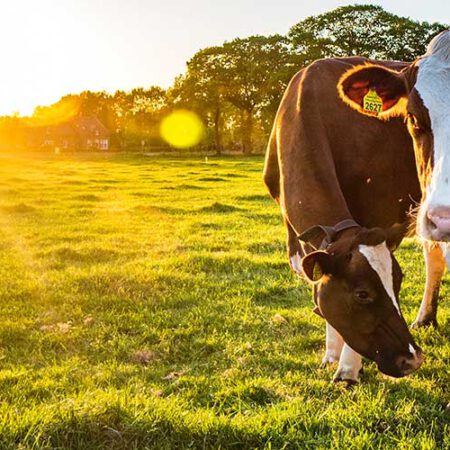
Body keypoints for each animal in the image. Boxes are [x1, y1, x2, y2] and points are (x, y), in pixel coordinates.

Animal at [264, 54, 426, 382]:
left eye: (398, 283)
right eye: (362, 294)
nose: (412, 360)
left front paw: (348, 370)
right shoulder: (299, 235)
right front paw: (330, 355)